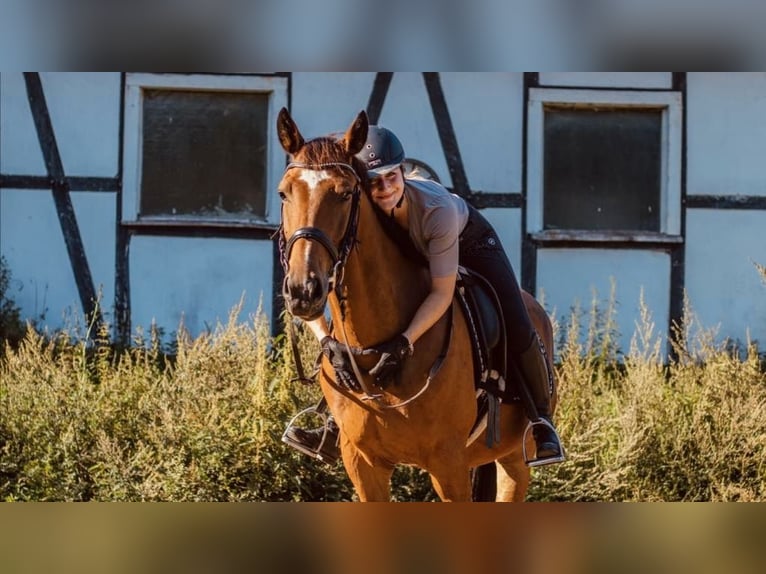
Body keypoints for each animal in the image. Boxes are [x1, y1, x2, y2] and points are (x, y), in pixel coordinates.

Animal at [276, 108, 557, 501]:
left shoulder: (448, 465)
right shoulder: (363, 465)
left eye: (345, 194)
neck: (373, 345)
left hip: (514, 457)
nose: (303, 289)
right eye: (284, 193)